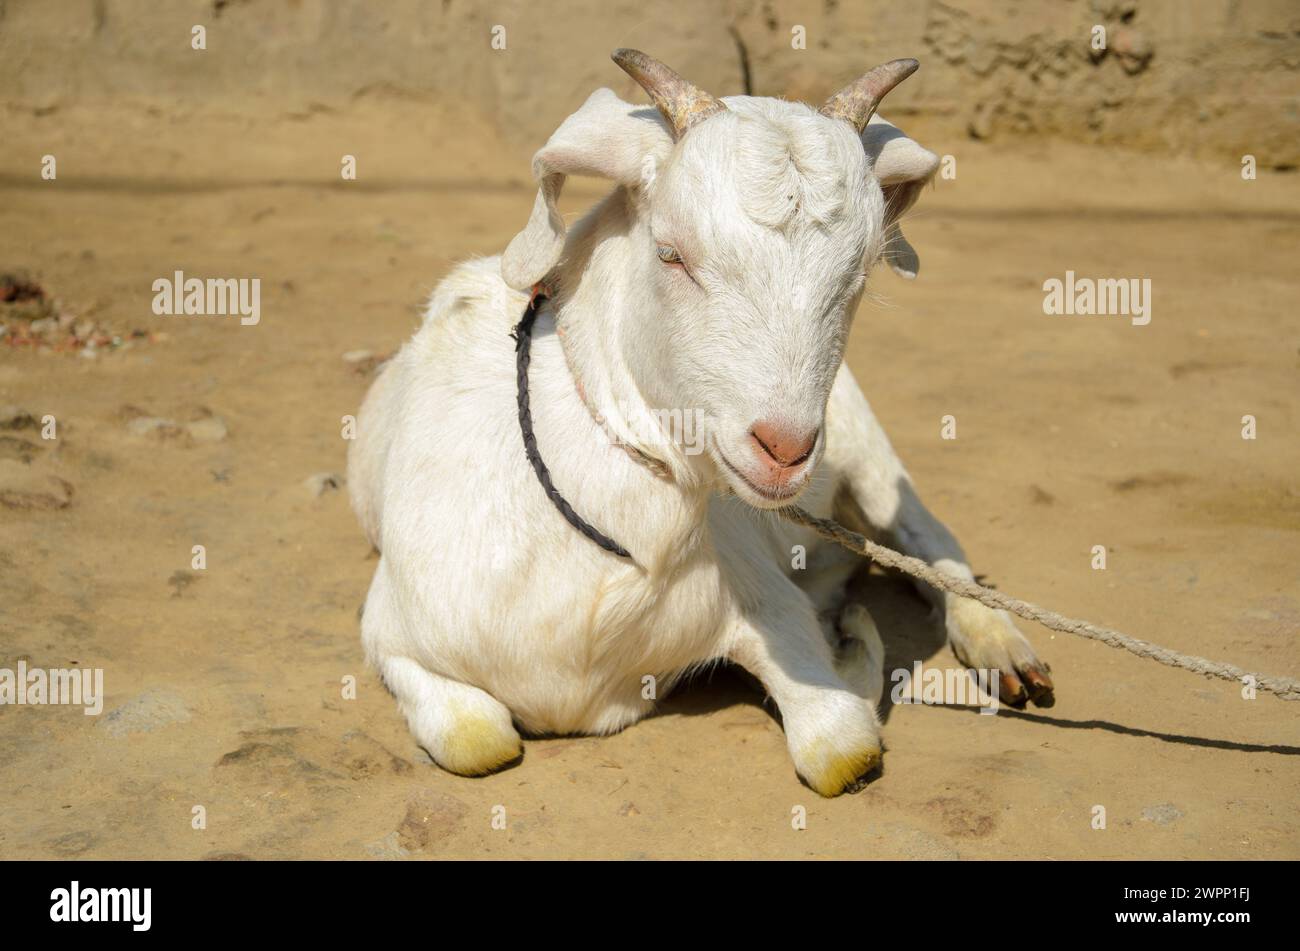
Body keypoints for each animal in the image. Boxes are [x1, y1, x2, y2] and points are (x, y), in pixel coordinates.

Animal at [348, 50, 1055, 795]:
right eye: (671, 253)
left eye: (860, 274)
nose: (784, 448)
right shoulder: (393, 633)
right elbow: (477, 741)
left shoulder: (766, 604)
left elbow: (843, 751)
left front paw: (851, 640)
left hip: (864, 446)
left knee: (926, 536)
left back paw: (1001, 647)